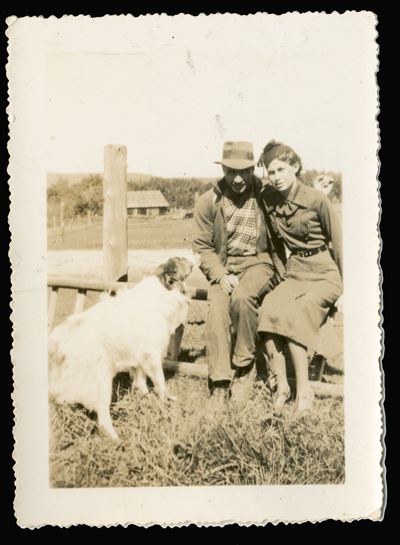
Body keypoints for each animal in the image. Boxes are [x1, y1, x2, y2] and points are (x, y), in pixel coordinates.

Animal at [47, 258, 195, 440]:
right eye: (181, 260)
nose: (196, 257)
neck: (160, 289)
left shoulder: (137, 359)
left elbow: (141, 384)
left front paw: (145, 401)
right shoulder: (151, 354)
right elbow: (160, 383)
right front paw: (164, 401)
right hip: (101, 385)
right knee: (103, 419)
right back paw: (117, 439)